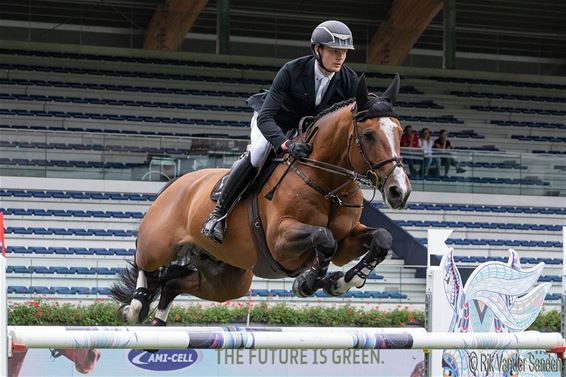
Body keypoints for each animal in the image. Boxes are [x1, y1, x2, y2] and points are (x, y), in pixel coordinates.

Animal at [111, 74, 412, 326]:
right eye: (369, 135)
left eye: (399, 133)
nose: (399, 191)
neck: (326, 182)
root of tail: (176, 182)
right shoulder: (280, 241)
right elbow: (324, 238)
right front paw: (307, 282)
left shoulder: (346, 242)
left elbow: (381, 239)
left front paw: (342, 282)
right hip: (159, 243)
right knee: (144, 263)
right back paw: (134, 307)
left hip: (227, 279)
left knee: (172, 284)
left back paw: (157, 326)